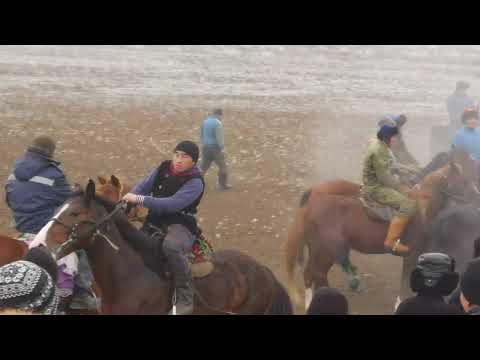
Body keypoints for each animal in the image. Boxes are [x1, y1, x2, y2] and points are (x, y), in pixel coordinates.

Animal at [284, 160, 468, 310]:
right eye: (464, 179)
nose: (473, 194)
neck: (423, 208)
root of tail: (311, 205)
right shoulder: (411, 254)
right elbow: (405, 283)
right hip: (326, 253)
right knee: (318, 275)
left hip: (317, 250)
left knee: (309, 274)